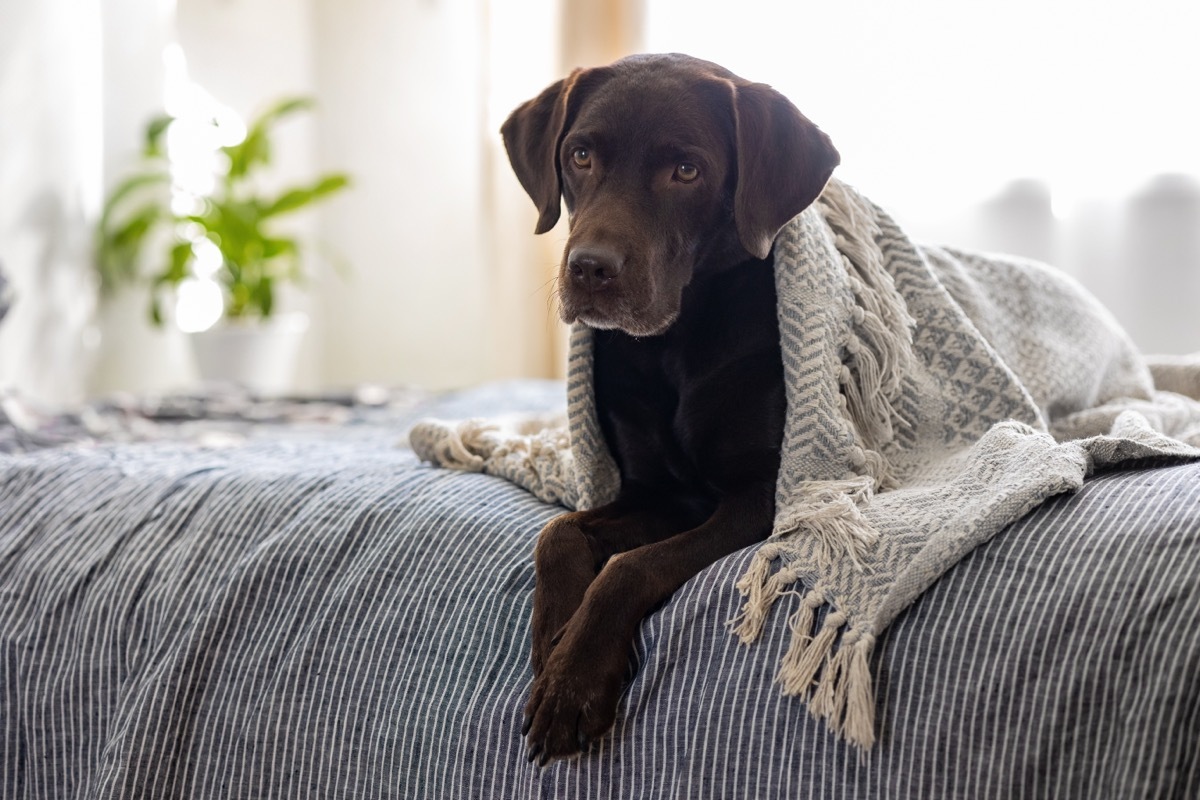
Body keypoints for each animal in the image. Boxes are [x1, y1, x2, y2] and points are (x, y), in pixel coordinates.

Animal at [501, 53, 840, 767]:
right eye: (579, 155)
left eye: (686, 170)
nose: (589, 269)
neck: (673, 347)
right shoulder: (656, 492)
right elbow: (558, 532)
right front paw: (553, 638)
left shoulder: (755, 499)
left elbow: (630, 568)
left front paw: (571, 682)